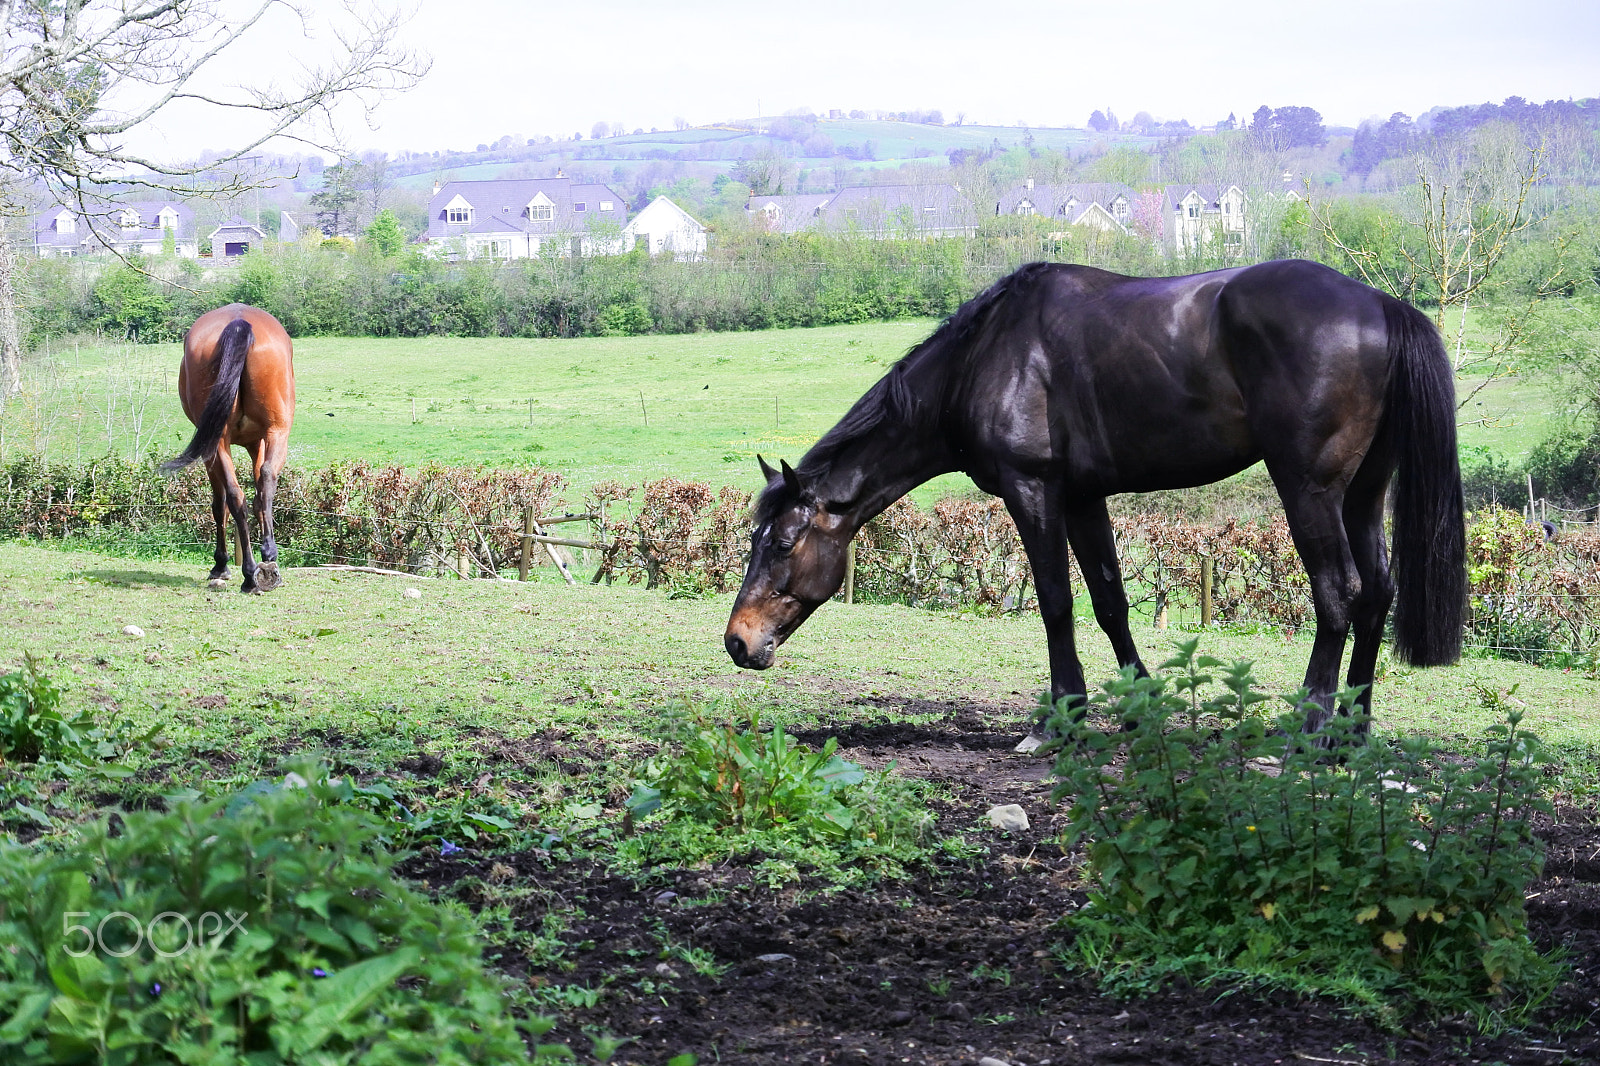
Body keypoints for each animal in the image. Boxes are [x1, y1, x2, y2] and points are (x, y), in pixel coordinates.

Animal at [164, 302, 299, 592]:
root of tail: (239, 322)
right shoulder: (257, 441)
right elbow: (257, 493)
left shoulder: (218, 450)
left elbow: (220, 504)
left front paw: (221, 564)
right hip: (276, 432)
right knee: (261, 484)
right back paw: (264, 563)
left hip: (222, 443)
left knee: (235, 496)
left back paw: (250, 572)